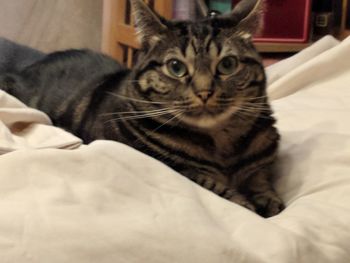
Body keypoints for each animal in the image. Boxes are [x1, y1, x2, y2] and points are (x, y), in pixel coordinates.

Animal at [0, 0, 284, 219]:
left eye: (227, 64)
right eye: (176, 67)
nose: (204, 92)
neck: (222, 143)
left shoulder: (260, 167)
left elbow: (265, 187)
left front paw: (267, 202)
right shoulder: (171, 167)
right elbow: (208, 183)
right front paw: (245, 203)